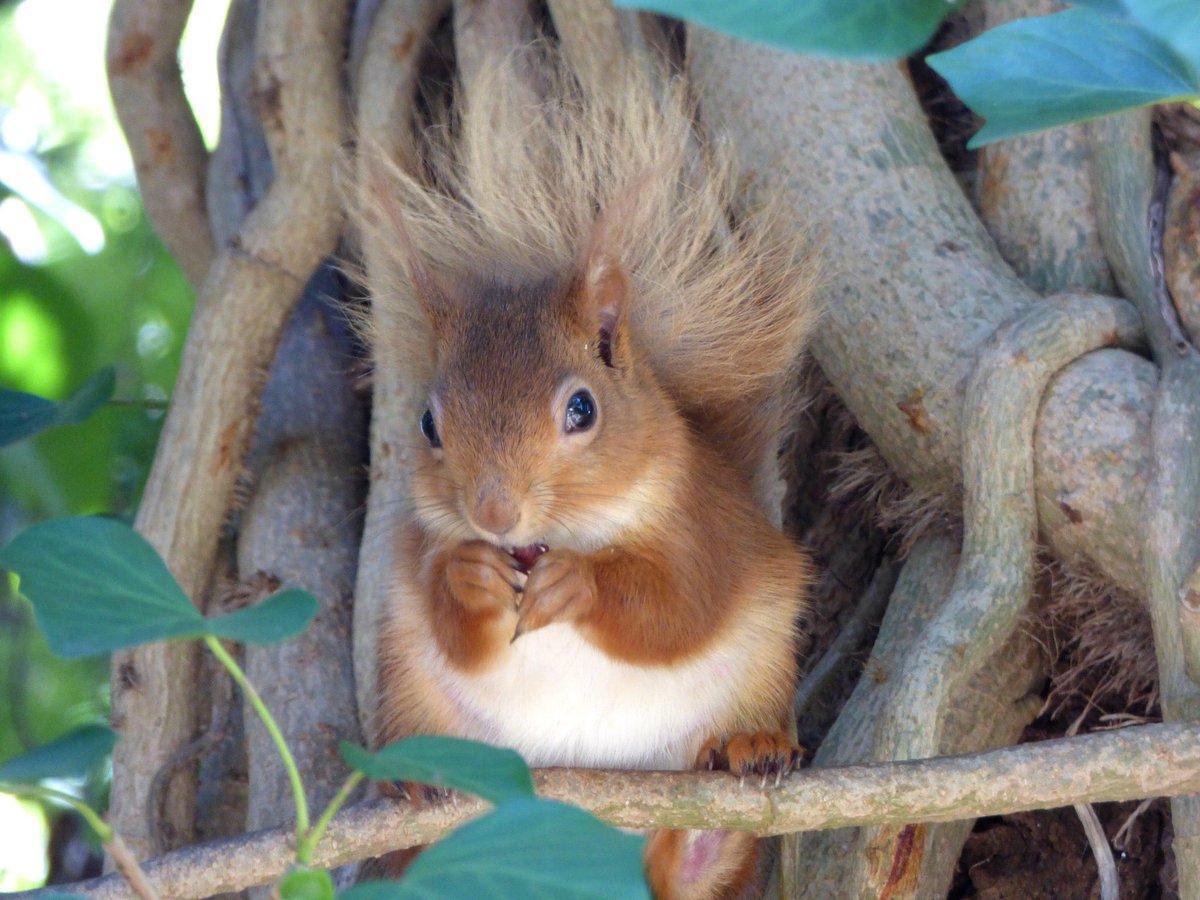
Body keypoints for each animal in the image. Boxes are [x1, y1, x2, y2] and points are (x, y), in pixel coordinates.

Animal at [355, 38, 819, 900]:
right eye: (428, 423)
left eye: (582, 409)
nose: (493, 513)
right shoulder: (419, 552)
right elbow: (451, 620)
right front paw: (467, 577)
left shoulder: (705, 528)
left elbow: (677, 610)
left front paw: (581, 584)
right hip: (413, 693)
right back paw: (416, 782)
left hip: (760, 672)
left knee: (691, 867)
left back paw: (734, 780)